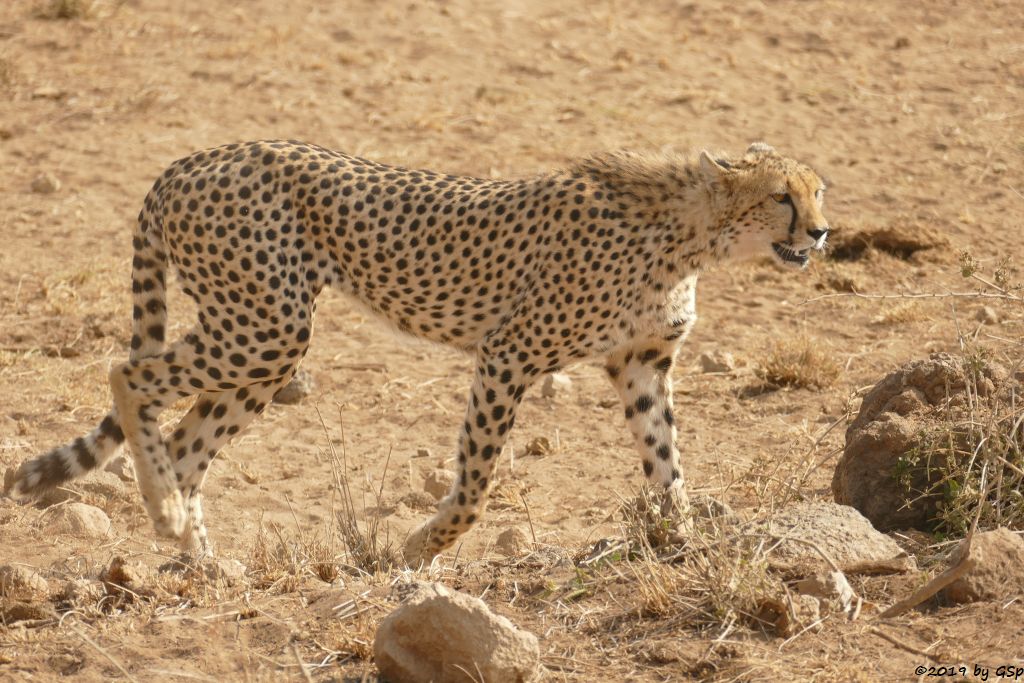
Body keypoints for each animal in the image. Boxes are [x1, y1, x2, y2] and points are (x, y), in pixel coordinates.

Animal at [6, 140, 831, 565]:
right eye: (782, 196)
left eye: (818, 190)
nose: (823, 232)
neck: (690, 235)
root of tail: (200, 155)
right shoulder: (508, 354)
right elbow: (477, 485)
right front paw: (419, 547)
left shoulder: (642, 365)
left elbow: (669, 468)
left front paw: (683, 545)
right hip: (266, 325)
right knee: (128, 371)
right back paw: (167, 514)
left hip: (264, 345)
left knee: (184, 439)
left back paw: (198, 557)